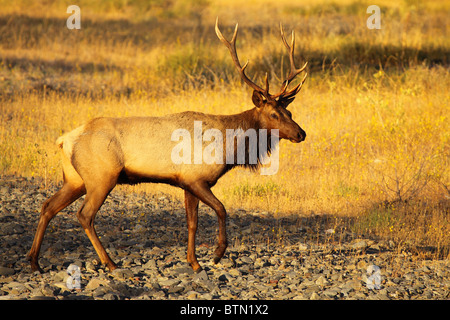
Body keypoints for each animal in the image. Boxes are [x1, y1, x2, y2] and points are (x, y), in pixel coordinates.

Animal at [26, 18, 308, 276]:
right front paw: (217, 254)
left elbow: (192, 222)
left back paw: (34, 262)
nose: (301, 133)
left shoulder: (187, 183)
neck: (229, 148)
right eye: (273, 114)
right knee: (85, 215)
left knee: (48, 206)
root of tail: (64, 140)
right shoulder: (196, 178)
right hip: (101, 176)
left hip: (75, 179)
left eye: (290, 111)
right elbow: (221, 209)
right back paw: (110, 263)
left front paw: (194, 262)